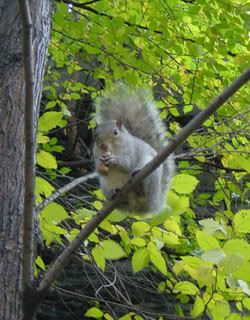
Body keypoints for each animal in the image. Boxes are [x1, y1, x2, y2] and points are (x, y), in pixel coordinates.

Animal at [93, 85, 175, 215]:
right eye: (95, 133)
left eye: (115, 132)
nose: (102, 145)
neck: (115, 148)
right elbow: (99, 169)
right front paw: (100, 163)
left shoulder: (133, 152)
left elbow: (128, 164)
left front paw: (113, 160)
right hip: (105, 185)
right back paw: (114, 193)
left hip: (152, 176)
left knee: (143, 191)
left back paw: (139, 187)